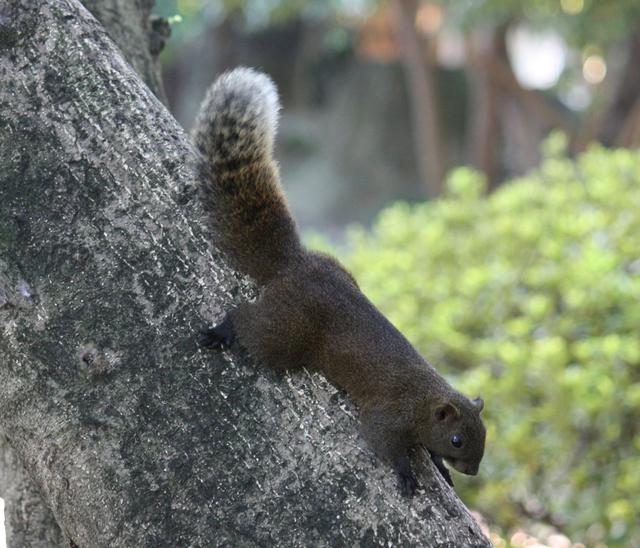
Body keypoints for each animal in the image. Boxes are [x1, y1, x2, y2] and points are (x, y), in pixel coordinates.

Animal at [194, 67, 484, 496]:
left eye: (484, 436)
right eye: (458, 439)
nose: (473, 471)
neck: (424, 400)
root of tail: (296, 265)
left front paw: (439, 469)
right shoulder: (388, 413)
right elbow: (383, 442)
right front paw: (407, 473)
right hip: (286, 332)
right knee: (248, 321)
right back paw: (222, 331)